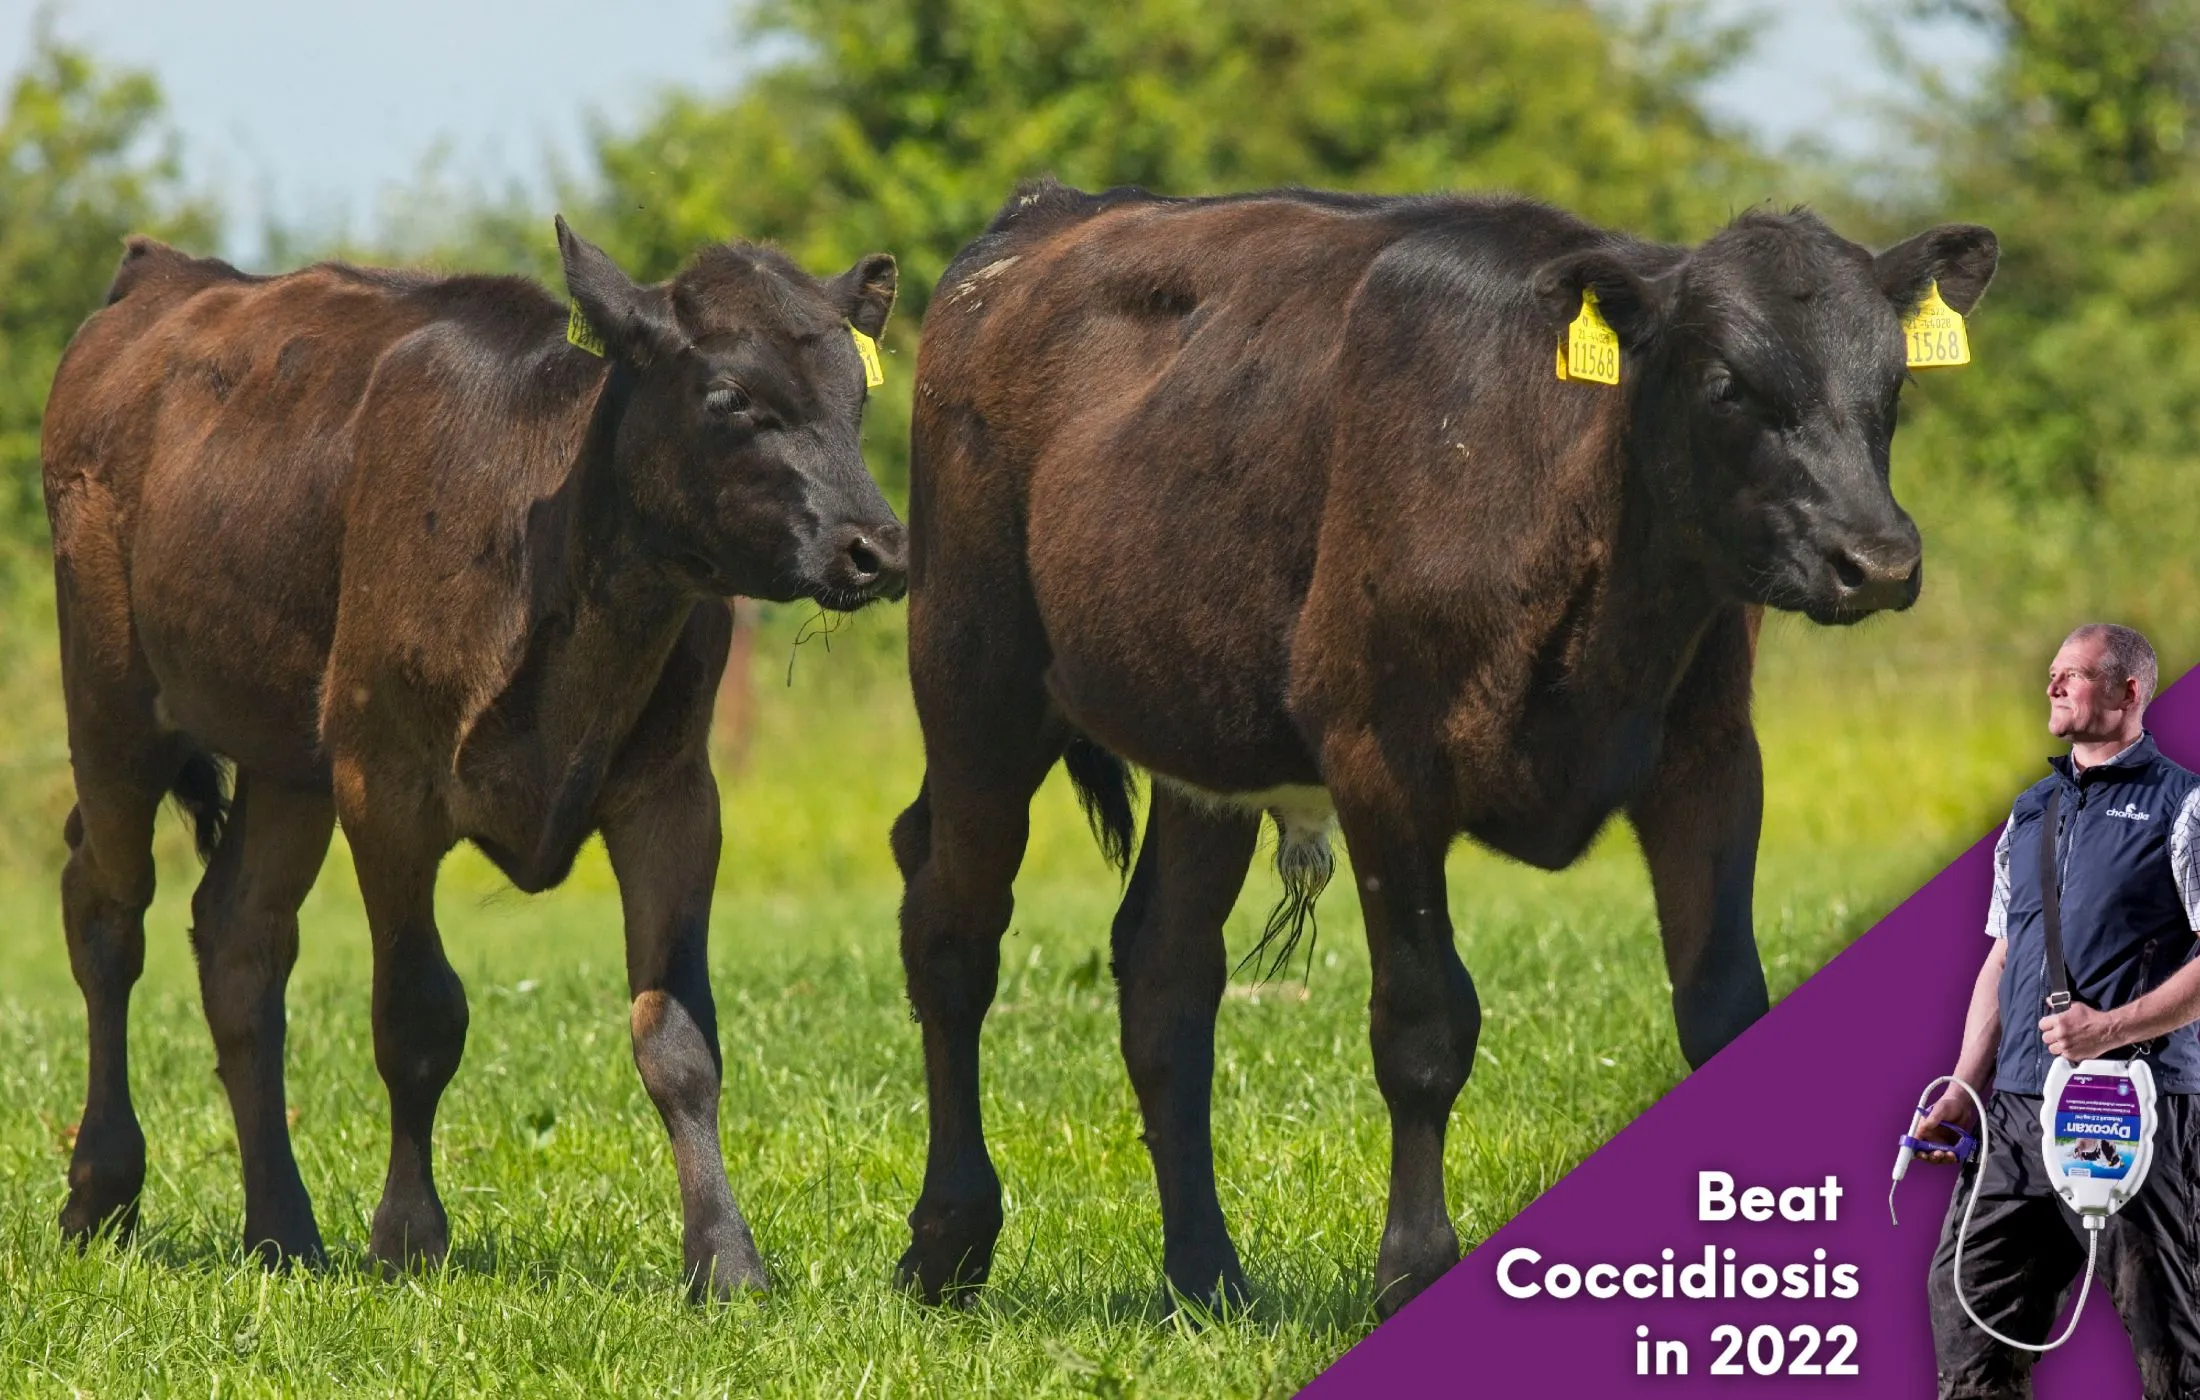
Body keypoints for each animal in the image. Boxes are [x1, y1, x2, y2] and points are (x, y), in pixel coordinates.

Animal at [41, 217, 906, 1297]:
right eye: (731, 398)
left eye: (858, 393)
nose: (878, 546)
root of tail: (163, 272)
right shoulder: (386, 784)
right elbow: (418, 1018)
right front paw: (409, 1237)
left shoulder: (675, 793)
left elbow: (677, 1035)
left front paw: (725, 1258)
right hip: (111, 691)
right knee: (108, 913)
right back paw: (101, 1192)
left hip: (290, 756)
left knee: (240, 939)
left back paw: (282, 1228)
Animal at [890, 181, 1996, 1316]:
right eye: (1728, 383)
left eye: (1893, 379)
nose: (1876, 559)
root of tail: (1052, 209)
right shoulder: (1384, 760)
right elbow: (1424, 1026)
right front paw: (1415, 1266)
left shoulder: (1713, 757)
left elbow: (1723, 1006)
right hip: (973, 675)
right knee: (952, 933)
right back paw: (947, 1243)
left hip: (1202, 735)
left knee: (1165, 971)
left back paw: (1206, 1278)